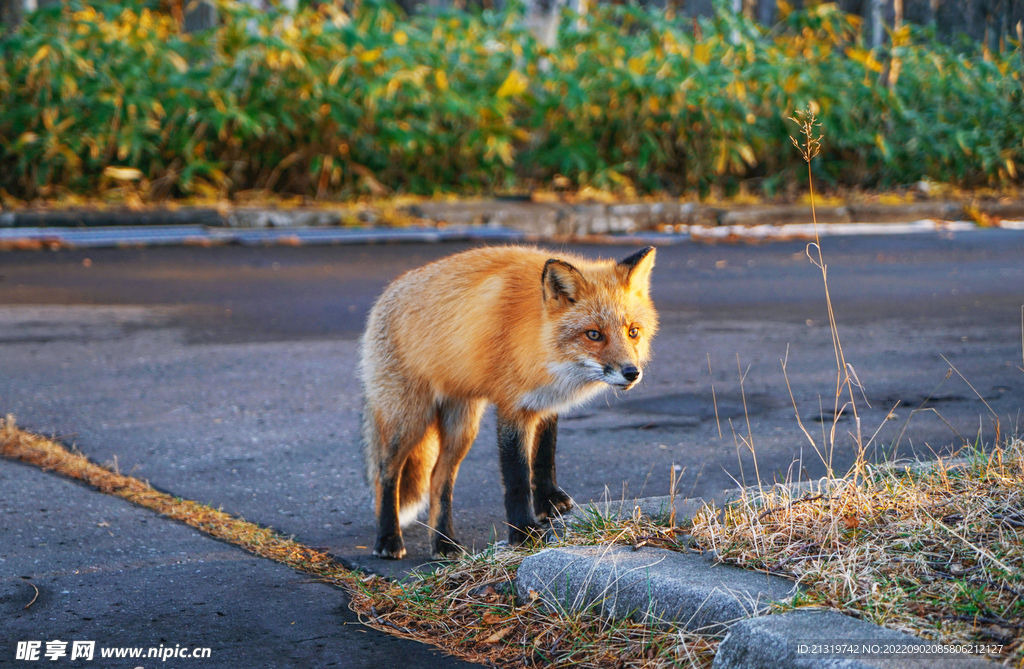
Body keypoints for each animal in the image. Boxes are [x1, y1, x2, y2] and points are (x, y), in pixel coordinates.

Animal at [360, 244, 659, 557]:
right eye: (594, 334)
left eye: (633, 332)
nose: (631, 373)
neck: (541, 345)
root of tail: (386, 294)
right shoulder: (512, 407)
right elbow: (517, 477)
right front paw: (523, 532)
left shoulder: (545, 403)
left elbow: (544, 456)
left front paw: (548, 501)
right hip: (409, 420)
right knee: (385, 474)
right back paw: (388, 538)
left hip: (461, 428)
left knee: (438, 480)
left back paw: (443, 542)